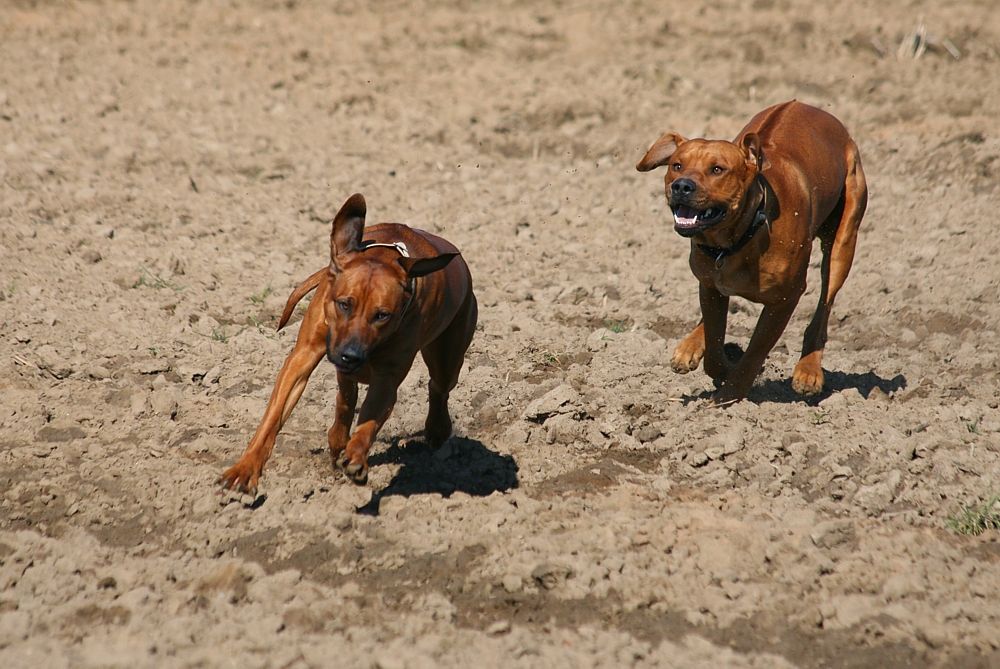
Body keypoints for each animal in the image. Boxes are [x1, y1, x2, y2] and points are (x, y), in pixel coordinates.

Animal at [221, 193, 478, 490]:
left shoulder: (387, 378)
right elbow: (274, 415)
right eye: (344, 304)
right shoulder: (303, 356)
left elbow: (368, 422)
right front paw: (245, 468)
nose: (351, 355)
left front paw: (355, 457)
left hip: (450, 351)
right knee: (346, 396)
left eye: (382, 315)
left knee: (438, 386)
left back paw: (436, 428)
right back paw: (337, 439)